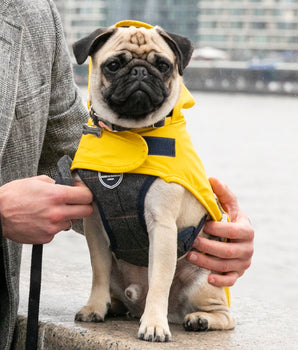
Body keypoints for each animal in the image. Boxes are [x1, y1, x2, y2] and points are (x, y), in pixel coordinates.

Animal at [70, 21, 235, 342]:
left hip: (204, 281)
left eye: (163, 65)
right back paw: (114, 306)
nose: (139, 71)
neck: (128, 133)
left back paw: (199, 320)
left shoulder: (163, 226)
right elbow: (98, 271)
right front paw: (94, 307)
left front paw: (155, 325)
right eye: (113, 65)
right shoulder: (94, 224)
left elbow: (159, 279)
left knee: (224, 315)